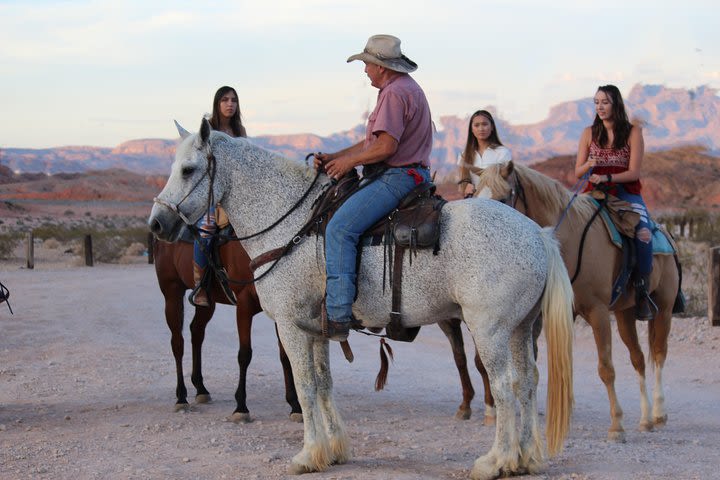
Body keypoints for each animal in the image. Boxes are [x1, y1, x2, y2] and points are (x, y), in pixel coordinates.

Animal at [153, 237, 302, 424]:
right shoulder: (244, 303)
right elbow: (244, 355)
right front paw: (241, 408)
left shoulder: (279, 308)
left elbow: (286, 356)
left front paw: (295, 406)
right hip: (172, 292)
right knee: (177, 343)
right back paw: (181, 397)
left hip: (206, 302)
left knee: (197, 332)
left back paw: (200, 388)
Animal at [476, 161, 676, 442]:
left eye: (503, 198)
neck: (569, 243)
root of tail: (666, 233)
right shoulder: (560, 314)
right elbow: (559, 368)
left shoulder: (598, 312)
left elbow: (606, 368)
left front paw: (616, 425)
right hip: (625, 314)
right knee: (638, 358)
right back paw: (646, 418)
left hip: (664, 309)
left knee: (658, 354)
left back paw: (659, 412)